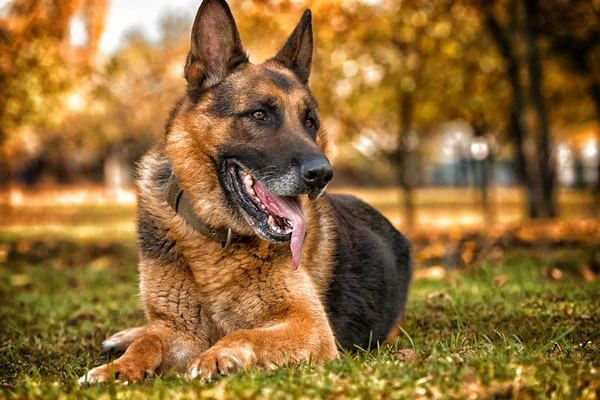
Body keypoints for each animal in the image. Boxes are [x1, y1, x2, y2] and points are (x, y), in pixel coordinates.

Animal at [79, 0, 410, 382]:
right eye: (259, 114)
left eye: (309, 122)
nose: (322, 174)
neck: (215, 237)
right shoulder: (178, 331)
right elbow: (150, 342)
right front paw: (118, 369)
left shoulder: (310, 326)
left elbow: (244, 333)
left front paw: (215, 357)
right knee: (147, 329)